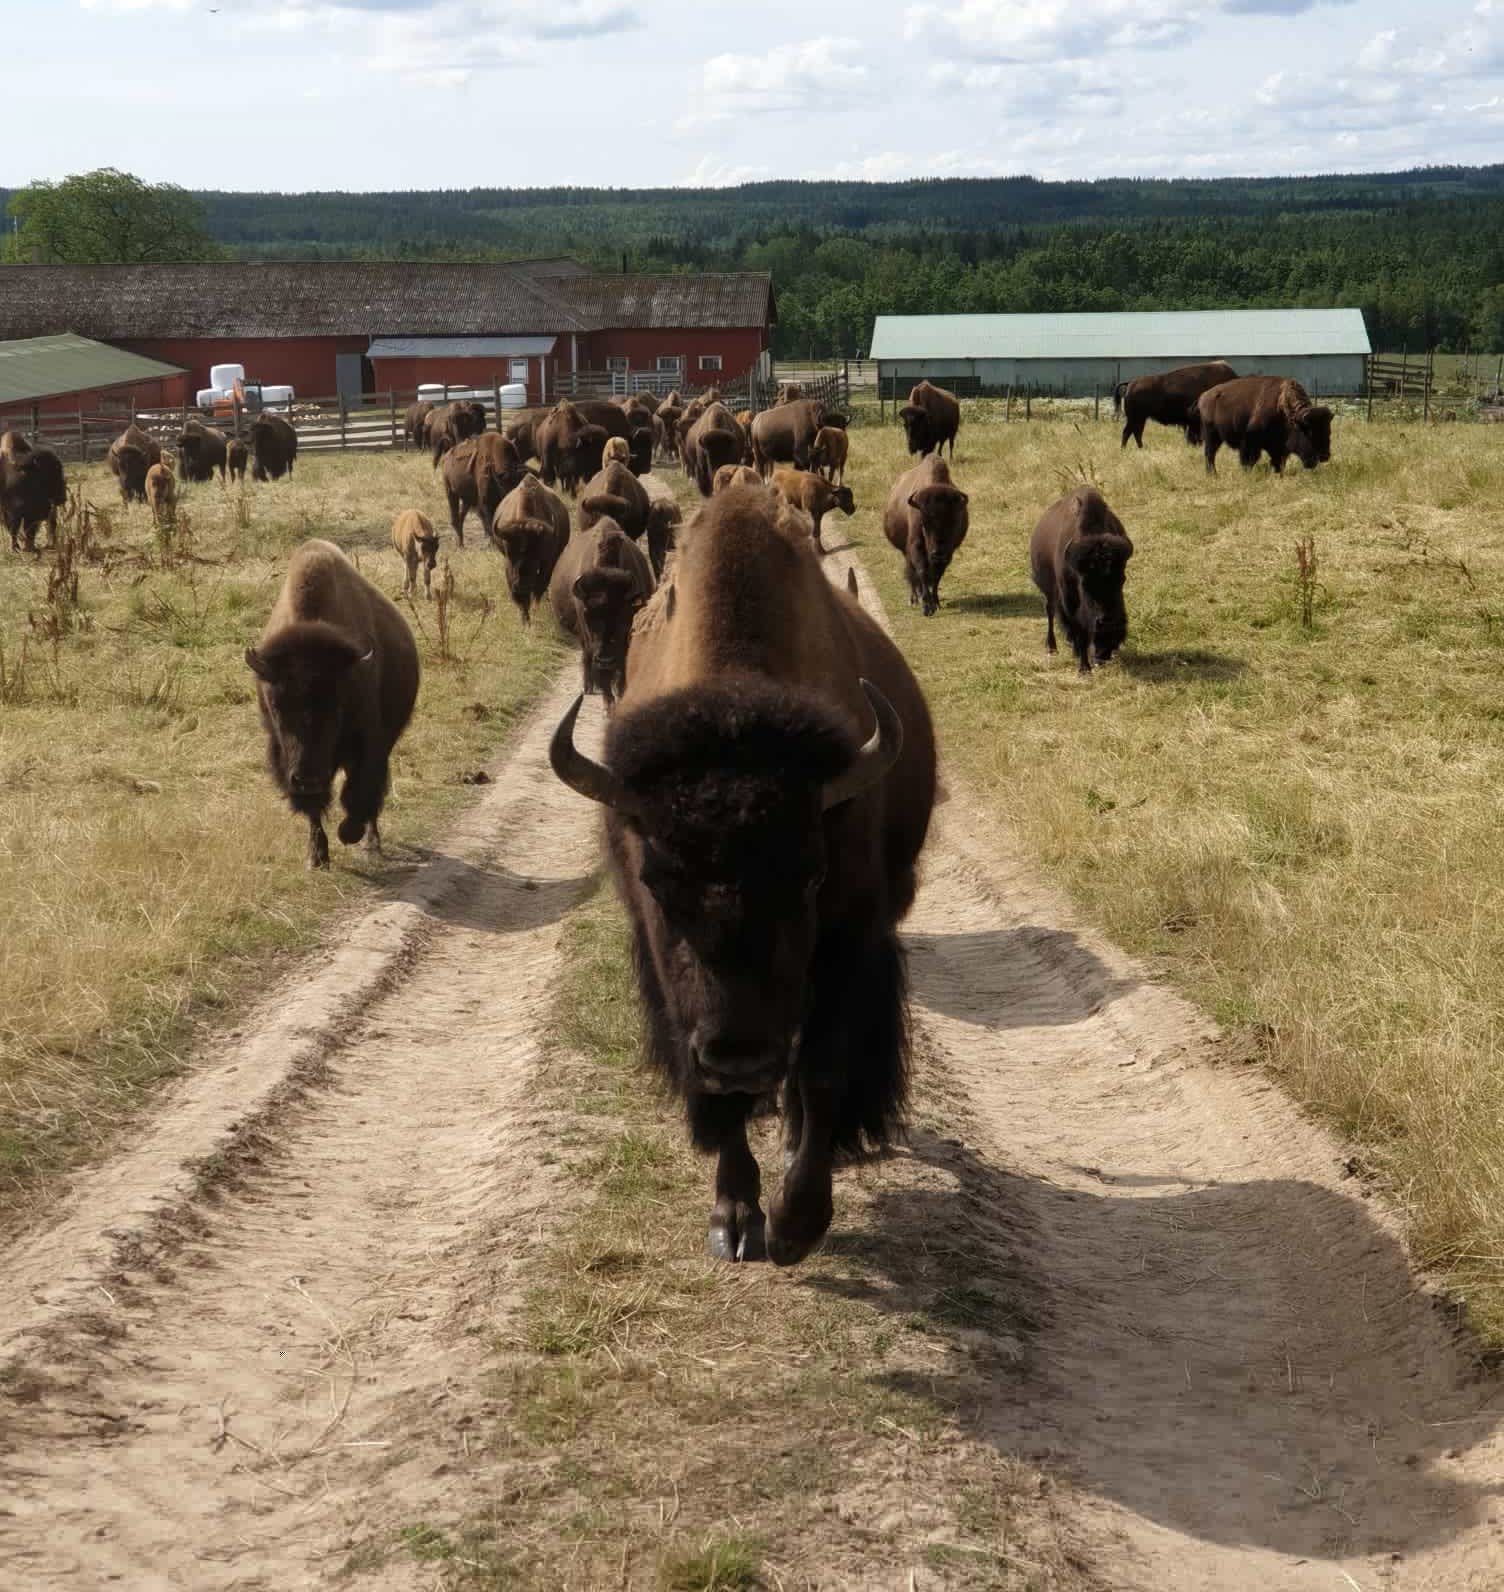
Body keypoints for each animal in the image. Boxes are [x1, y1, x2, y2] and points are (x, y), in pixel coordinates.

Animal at [246, 539, 419, 869]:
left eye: (337, 706)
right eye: (277, 706)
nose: (308, 779)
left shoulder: (367, 741)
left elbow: (360, 789)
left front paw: (349, 833)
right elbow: (314, 809)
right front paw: (317, 856)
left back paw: (371, 843)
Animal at [549, 483, 936, 1267]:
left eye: (811, 878)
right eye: (659, 884)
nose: (740, 1056)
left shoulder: (848, 943)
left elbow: (821, 1071)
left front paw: (794, 1224)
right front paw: (733, 1217)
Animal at [883, 455, 969, 616]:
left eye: (955, 522)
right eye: (923, 523)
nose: (937, 553)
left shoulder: (948, 553)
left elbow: (936, 576)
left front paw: (936, 603)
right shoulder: (915, 547)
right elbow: (921, 571)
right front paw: (927, 607)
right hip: (905, 551)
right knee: (911, 572)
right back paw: (913, 599)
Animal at [1028, 486, 1133, 673]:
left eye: (1122, 579)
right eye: (1084, 584)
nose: (1108, 623)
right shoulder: (1070, 599)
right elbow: (1080, 631)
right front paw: (1084, 669)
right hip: (1048, 591)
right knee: (1050, 612)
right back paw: (1052, 648)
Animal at [1196, 376, 1332, 475]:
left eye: (1328, 431)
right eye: (1309, 432)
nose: (1325, 456)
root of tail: (1204, 397)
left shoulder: (1279, 446)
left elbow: (1279, 460)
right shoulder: (1250, 442)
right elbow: (1249, 459)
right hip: (1211, 436)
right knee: (1210, 454)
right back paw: (1212, 474)